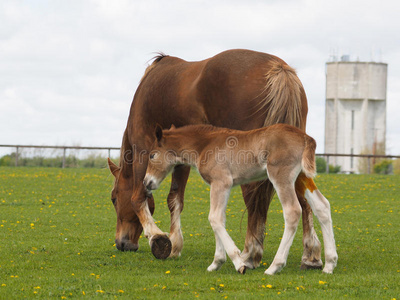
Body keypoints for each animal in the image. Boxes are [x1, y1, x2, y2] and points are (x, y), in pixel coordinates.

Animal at [106, 48, 322, 270]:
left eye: (114, 198)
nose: (122, 243)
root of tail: (279, 69)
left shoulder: (143, 149)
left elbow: (139, 197)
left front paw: (159, 239)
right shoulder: (180, 157)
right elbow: (175, 198)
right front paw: (175, 244)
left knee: (255, 199)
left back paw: (250, 253)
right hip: (290, 163)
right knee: (304, 201)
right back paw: (310, 256)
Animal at [144, 124, 338, 274]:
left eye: (152, 155)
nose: (147, 182)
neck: (204, 145)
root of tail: (306, 137)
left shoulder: (221, 182)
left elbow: (214, 218)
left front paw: (239, 263)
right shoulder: (222, 186)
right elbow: (219, 219)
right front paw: (216, 263)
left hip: (281, 176)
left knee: (293, 211)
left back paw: (275, 266)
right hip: (301, 177)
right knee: (322, 206)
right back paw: (329, 264)